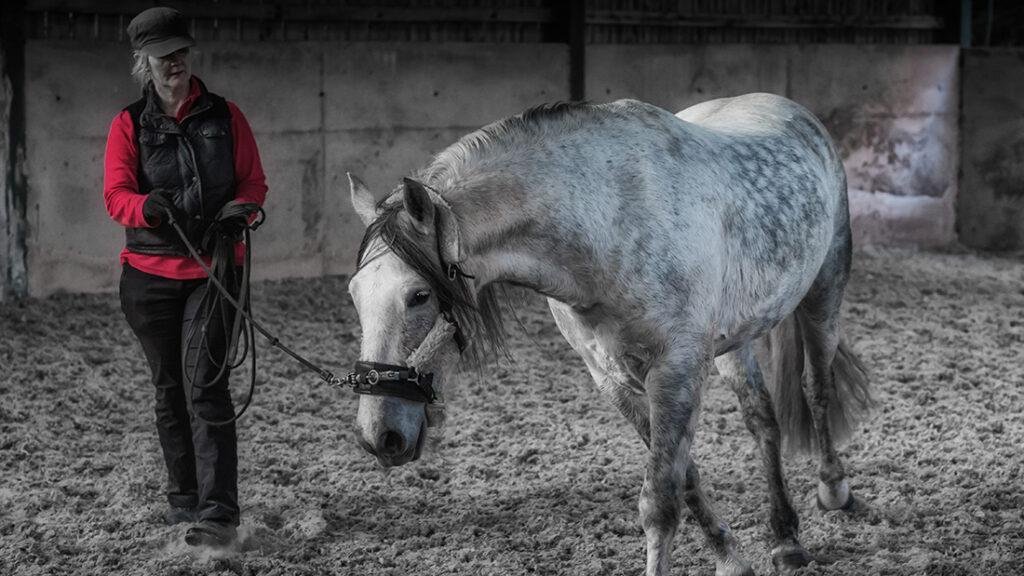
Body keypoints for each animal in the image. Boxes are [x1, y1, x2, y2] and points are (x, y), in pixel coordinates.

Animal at [345, 93, 872, 576]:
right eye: (354, 293)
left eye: (418, 296)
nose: (378, 436)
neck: (608, 220)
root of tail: (790, 108)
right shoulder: (613, 378)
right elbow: (684, 478)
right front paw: (730, 558)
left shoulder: (677, 370)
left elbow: (660, 503)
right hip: (733, 342)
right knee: (763, 419)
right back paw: (785, 537)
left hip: (823, 295)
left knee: (817, 389)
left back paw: (834, 490)